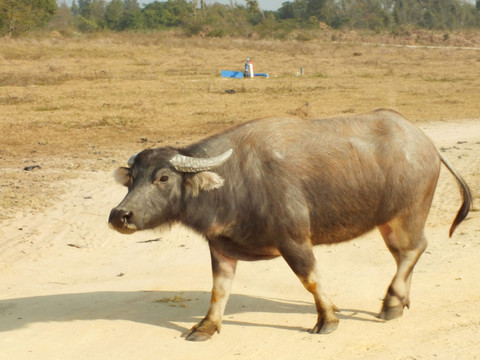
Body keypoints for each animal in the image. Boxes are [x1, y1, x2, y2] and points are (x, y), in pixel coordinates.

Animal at [109, 109, 472, 340]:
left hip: (407, 213)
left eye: (163, 177)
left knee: (414, 249)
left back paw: (392, 302)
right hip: (387, 221)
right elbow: (219, 290)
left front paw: (327, 319)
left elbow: (311, 280)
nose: (119, 216)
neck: (235, 182)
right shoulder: (221, 247)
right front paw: (206, 327)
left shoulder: (295, 240)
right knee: (402, 254)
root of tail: (426, 144)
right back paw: (400, 302)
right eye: (132, 178)